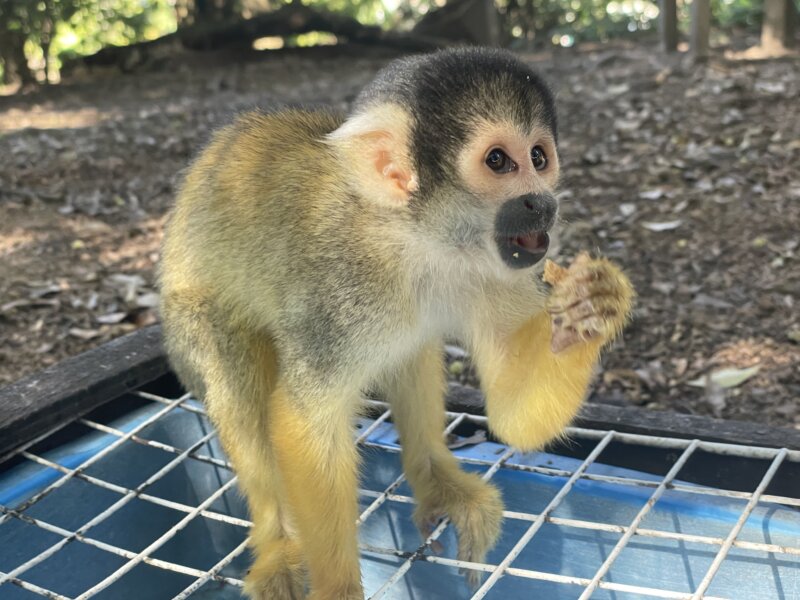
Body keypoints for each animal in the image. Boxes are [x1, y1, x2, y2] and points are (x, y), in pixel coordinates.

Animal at [158, 47, 634, 599]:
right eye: (498, 161)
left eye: (539, 157)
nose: (543, 202)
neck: (419, 242)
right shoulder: (340, 289)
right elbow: (304, 421)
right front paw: (338, 587)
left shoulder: (503, 271)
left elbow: (514, 418)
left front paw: (592, 307)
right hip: (189, 326)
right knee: (235, 379)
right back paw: (276, 538)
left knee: (414, 350)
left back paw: (435, 479)